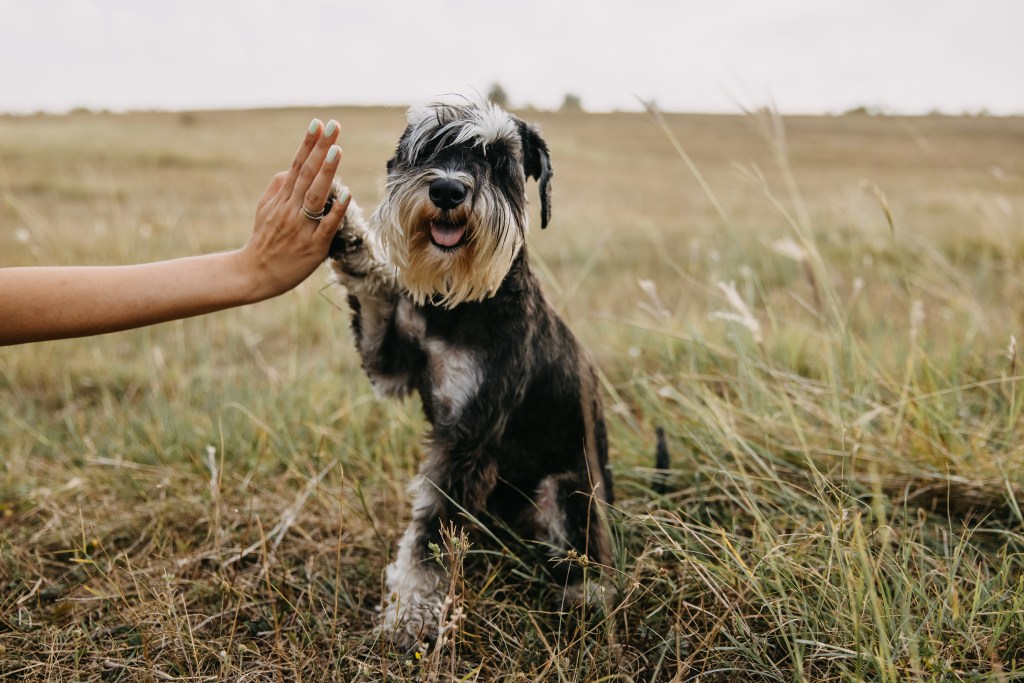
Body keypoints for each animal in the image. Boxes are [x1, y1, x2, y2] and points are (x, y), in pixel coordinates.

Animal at [325, 98, 606, 651]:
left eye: (498, 159)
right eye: (427, 148)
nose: (448, 190)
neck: (458, 304)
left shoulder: (468, 437)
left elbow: (431, 535)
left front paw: (411, 616)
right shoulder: (391, 363)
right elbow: (374, 292)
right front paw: (348, 235)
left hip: (567, 489)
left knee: (587, 555)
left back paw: (582, 599)